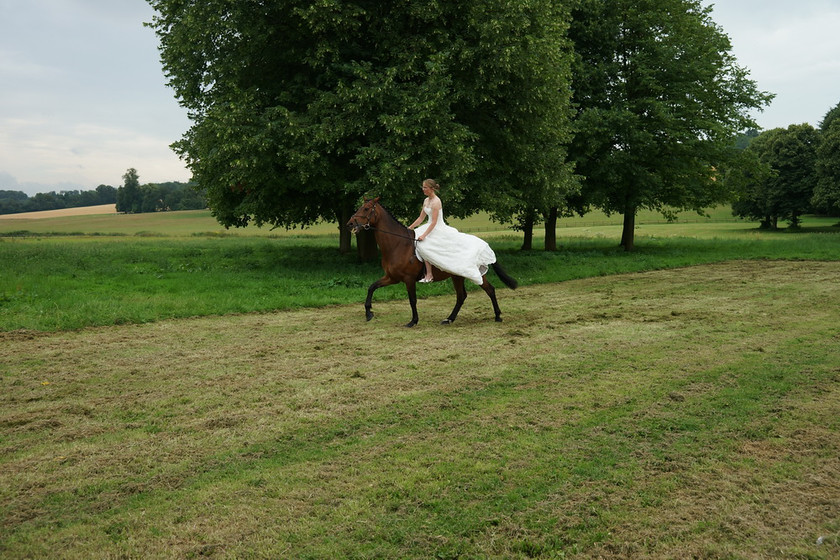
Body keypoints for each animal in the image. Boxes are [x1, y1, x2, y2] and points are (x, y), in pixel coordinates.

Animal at [344, 198, 516, 326]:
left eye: (366, 209)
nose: (350, 224)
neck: (398, 244)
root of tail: (484, 245)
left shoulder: (408, 279)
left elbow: (412, 299)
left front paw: (413, 321)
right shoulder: (392, 278)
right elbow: (371, 287)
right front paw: (369, 313)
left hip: (472, 274)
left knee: (489, 290)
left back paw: (497, 316)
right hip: (457, 275)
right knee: (461, 296)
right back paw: (449, 319)